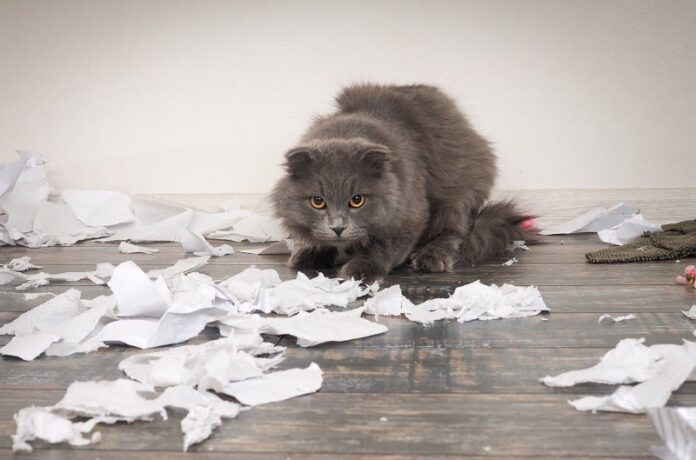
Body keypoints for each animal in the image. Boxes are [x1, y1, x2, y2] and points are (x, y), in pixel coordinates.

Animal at [270, 84, 532, 282]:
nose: (338, 227)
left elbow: (381, 250)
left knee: (453, 232)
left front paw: (359, 271)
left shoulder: (410, 217)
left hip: (457, 195)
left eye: (357, 201)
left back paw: (430, 258)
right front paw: (311, 252)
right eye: (318, 201)